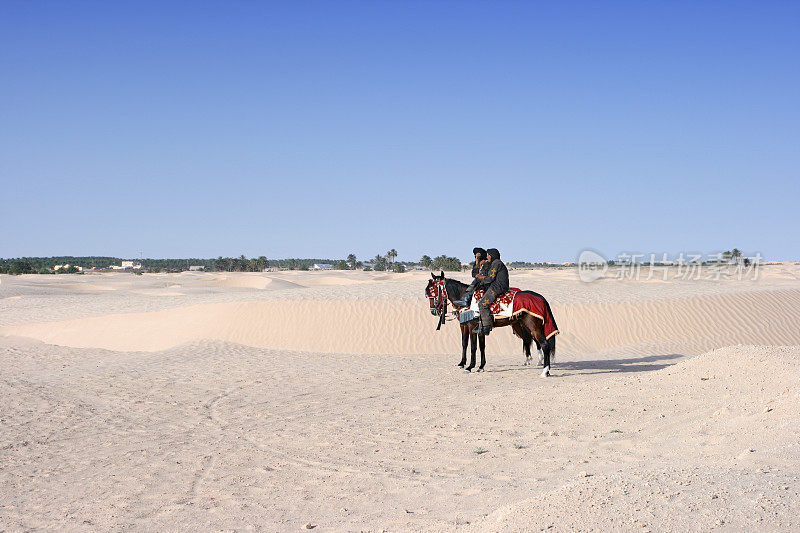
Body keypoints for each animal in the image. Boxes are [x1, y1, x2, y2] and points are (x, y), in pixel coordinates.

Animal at [424, 268, 556, 376]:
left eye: (433, 290)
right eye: (428, 293)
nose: (433, 311)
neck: (466, 300)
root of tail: (540, 298)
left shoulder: (472, 327)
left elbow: (473, 347)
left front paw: (470, 366)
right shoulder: (472, 327)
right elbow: (474, 345)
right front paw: (477, 366)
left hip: (531, 327)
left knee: (543, 344)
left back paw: (544, 370)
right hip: (525, 326)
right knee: (532, 341)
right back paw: (538, 363)